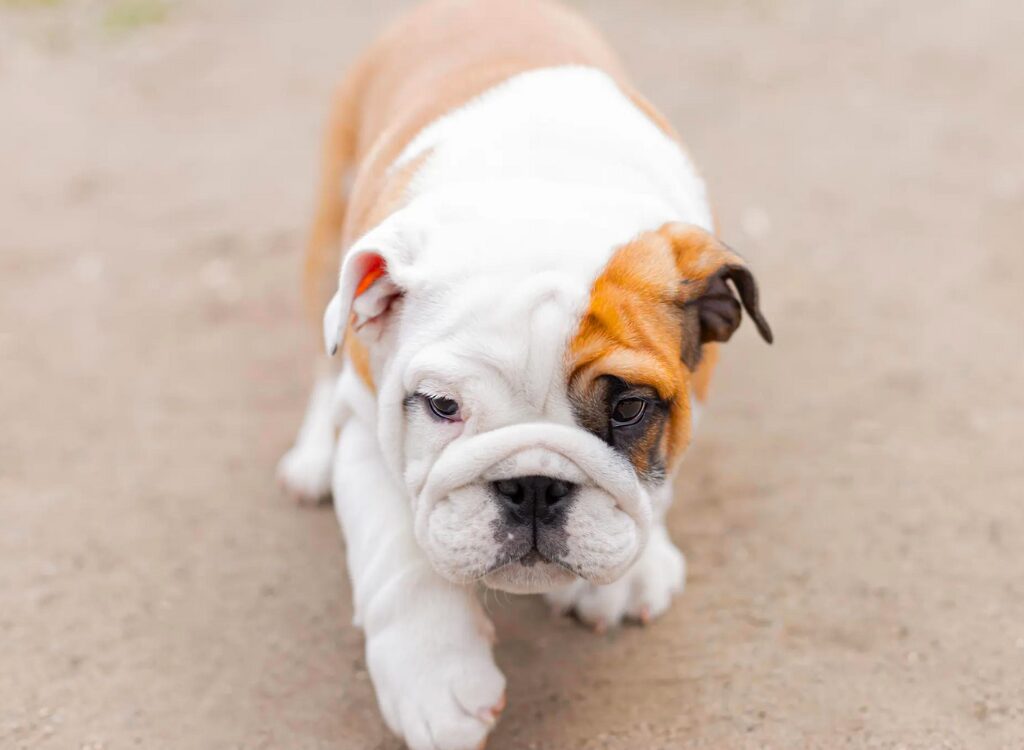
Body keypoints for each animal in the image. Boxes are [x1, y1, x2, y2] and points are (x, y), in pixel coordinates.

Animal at [276, 2, 770, 745]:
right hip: (329, 237)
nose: (533, 486)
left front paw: (627, 575)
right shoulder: (368, 420)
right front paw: (434, 679)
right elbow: (398, 556)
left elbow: (655, 492)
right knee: (319, 352)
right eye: (441, 406)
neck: (545, 191)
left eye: (629, 410)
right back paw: (311, 458)